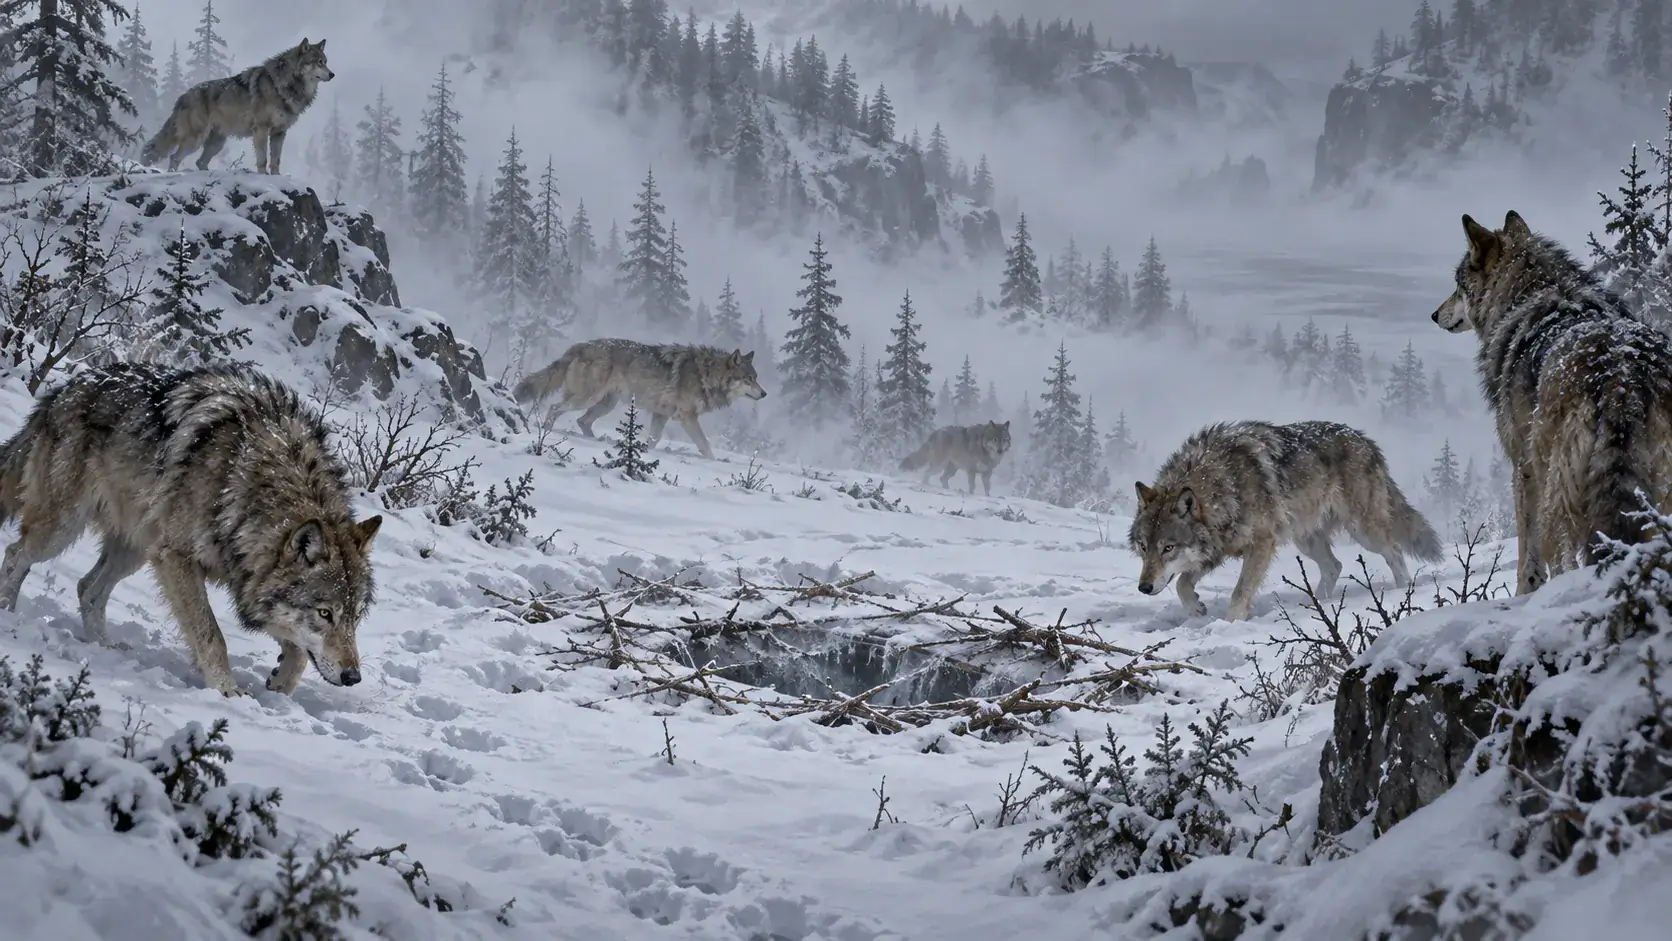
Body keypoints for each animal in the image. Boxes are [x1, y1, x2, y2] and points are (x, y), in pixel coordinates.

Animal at [0, 363, 382, 697]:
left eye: (355, 617)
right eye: (324, 613)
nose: (353, 677)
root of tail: (63, 390)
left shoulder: (240, 577)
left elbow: (299, 653)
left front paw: (280, 684)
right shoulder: (176, 559)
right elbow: (211, 634)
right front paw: (226, 690)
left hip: (137, 548)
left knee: (87, 588)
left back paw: (104, 646)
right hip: (64, 530)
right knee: (16, 555)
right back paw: (8, 613)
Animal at [142, 38, 334, 174]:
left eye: (325, 61)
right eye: (318, 62)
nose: (332, 74)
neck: (286, 85)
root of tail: (182, 97)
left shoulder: (280, 132)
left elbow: (276, 162)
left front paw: (276, 178)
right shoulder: (261, 129)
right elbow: (263, 160)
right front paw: (263, 178)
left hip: (216, 143)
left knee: (199, 162)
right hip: (195, 140)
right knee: (174, 158)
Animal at [513, 338, 769, 460]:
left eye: (756, 378)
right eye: (748, 379)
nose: (765, 394)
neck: (706, 374)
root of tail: (578, 346)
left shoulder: (661, 414)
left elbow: (653, 440)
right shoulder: (686, 417)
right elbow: (704, 445)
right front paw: (714, 462)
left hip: (606, 404)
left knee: (582, 421)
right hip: (585, 399)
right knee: (555, 408)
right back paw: (545, 433)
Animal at [1128, 420, 1442, 621]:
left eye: (1168, 548)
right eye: (1143, 547)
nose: (1143, 588)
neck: (1225, 485)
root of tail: (1366, 440)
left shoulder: (1261, 544)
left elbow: (1240, 591)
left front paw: (1230, 624)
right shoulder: (1217, 548)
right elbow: (1182, 583)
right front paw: (1195, 610)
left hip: (1363, 531)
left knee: (1394, 551)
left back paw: (1402, 592)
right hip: (1306, 539)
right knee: (1334, 566)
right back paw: (1316, 605)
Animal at [1432, 210, 1672, 594]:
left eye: (1458, 286)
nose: (1434, 314)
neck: (1540, 293)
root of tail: (1621, 371)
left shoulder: (1523, 466)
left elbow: (1526, 556)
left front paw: (1524, 592)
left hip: (1557, 489)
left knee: (1561, 555)